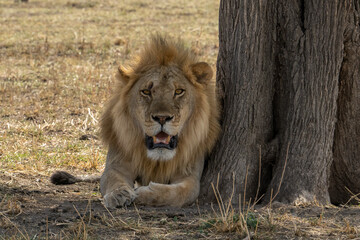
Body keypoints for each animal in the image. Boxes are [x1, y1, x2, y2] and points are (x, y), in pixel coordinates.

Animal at [50, 35, 219, 208]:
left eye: (179, 91)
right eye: (146, 91)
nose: (162, 118)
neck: (158, 160)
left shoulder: (190, 175)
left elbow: (180, 193)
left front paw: (143, 193)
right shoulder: (117, 162)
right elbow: (111, 178)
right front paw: (118, 194)